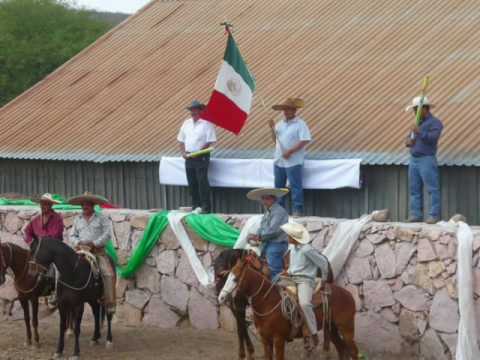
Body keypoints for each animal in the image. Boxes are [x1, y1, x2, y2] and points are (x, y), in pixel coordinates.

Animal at [219, 253, 358, 360]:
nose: (221, 297)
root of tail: (348, 295)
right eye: (227, 277)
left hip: (346, 328)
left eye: (235, 279)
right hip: (332, 328)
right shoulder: (265, 339)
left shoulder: (278, 339)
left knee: (353, 352)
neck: (268, 302)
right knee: (342, 350)